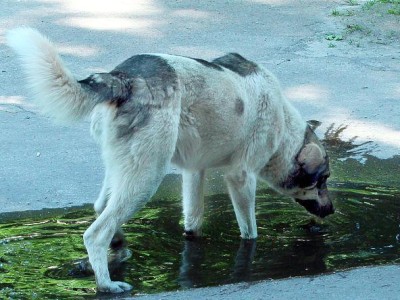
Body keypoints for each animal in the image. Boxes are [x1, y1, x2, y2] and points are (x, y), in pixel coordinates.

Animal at [7, 27, 334, 292]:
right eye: (324, 180)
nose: (332, 211)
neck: (285, 131)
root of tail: (123, 77)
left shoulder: (194, 172)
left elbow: (192, 223)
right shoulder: (241, 178)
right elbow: (250, 233)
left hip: (124, 170)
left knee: (101, 208)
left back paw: (119, 246)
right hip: (147, 177)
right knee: (95, 233)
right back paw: (106, 284)